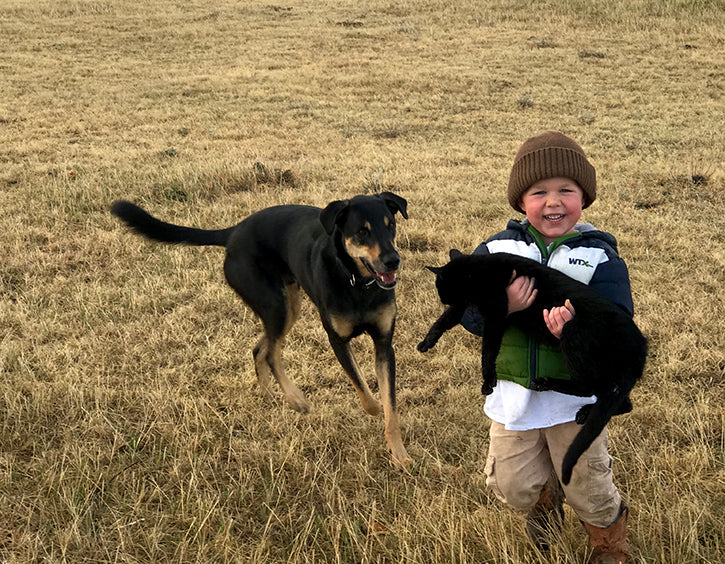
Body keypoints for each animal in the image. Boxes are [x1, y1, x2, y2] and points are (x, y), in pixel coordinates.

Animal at [110, 194, 410, 468]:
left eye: (391, 225)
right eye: (362, 231)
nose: (393, 260)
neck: (358, 283)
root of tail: (233, 232)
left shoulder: (384, 344)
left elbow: (390, 407)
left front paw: (399, 454)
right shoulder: (337, 340)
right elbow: (365, 392)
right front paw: (376, 410)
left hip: (288, 305)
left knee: (259, 349)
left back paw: (269, 395)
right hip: (276, 306)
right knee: (271, 353)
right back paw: (295, 399)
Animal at [416, 251, 648, 484]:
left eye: (441, 288)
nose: (442, 300)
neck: (479, 271)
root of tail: (639, 346)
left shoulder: (496, 314)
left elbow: (488, 350)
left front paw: (488, 379)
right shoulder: (466, 305)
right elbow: (443, 321)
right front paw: (426, 342)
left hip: (573, 335)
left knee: (589, 387)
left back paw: (547, 384)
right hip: (610, 374)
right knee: (622, 402)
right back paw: (585, 411)